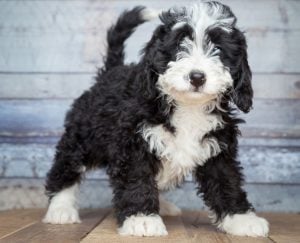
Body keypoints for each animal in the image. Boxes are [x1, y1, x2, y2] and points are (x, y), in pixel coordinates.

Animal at [42, 0, 270, 237]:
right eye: (179, 46)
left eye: (218, 49)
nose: (197, 77)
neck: (188, 107)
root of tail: (110, 71)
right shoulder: (134, 142)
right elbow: (137, 178)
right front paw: (141, 218)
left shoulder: (218, 146)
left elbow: (227, 180)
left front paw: (241, 218)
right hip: (84, 136)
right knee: (66, 166)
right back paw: (60, 208)